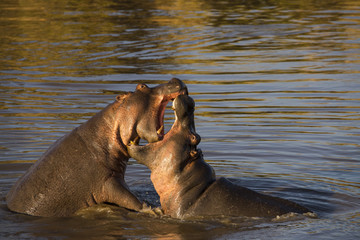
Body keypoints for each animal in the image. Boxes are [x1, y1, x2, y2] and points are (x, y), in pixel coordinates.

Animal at [6, 78, 188, 218]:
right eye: (141, 86)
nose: (174, 79)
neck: (105, 132)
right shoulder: (107, 181)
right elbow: (130, 199)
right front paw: (154, 210)